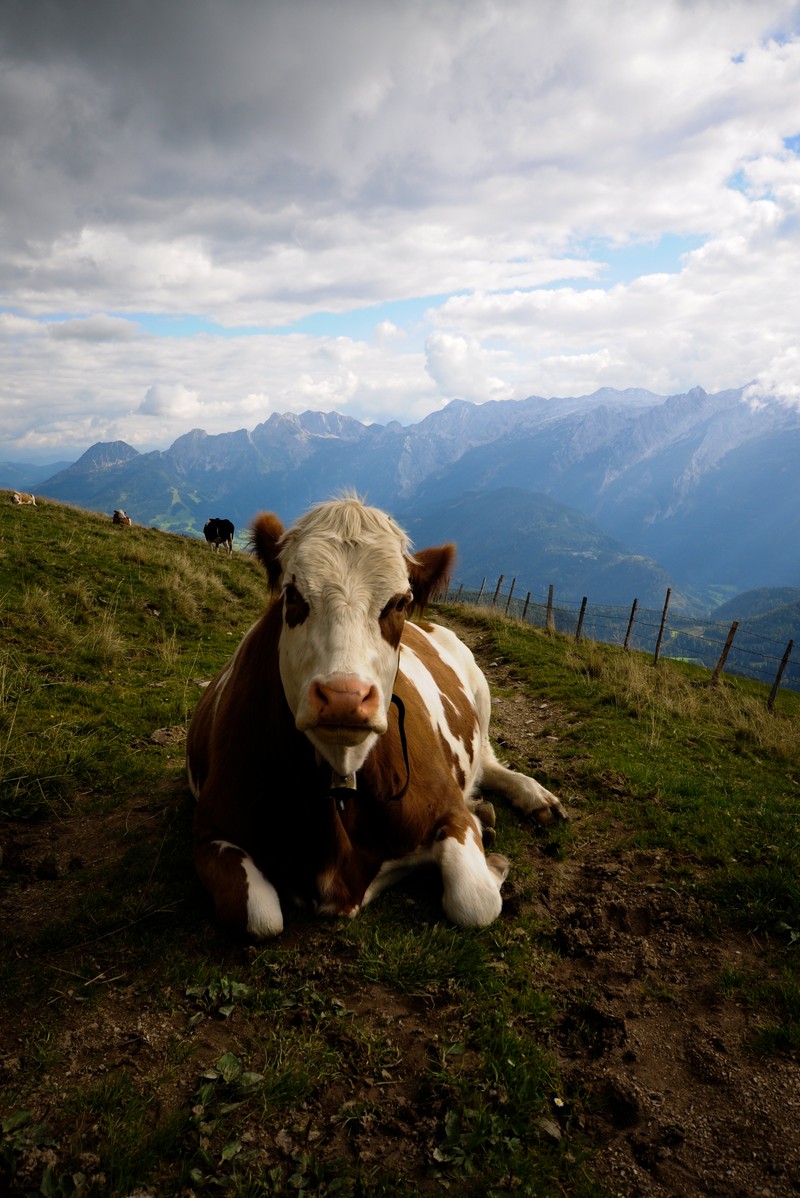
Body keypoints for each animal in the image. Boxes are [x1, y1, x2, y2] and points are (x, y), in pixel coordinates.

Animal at [186, 491, 562, 939]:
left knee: (488, 761)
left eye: (399, 603)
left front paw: (496, 861)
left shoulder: (448, 808)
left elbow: (473, 901)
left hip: (480, 688)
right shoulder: (210, 831)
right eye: (292, 595)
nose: (344, 697)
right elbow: (259, 916)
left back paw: (534, 798)